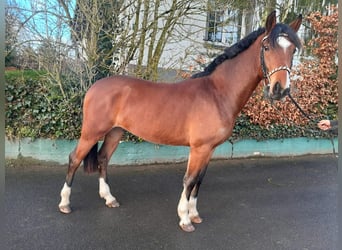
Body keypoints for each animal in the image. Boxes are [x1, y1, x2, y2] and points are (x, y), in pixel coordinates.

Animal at [58, 12, 302, 232]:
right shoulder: (199, 148)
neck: (217, 93)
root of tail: (95, 86)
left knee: (103, 158)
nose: (280, 89)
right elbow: (190, 179)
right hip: (92, 132)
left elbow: (199, 180)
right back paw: (65, 203)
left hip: (115, 132)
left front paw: (194, 215)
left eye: (292, 50)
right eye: (267, 47)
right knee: (74, 159)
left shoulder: (209, 149)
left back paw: (109, 198)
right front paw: (185, 219)